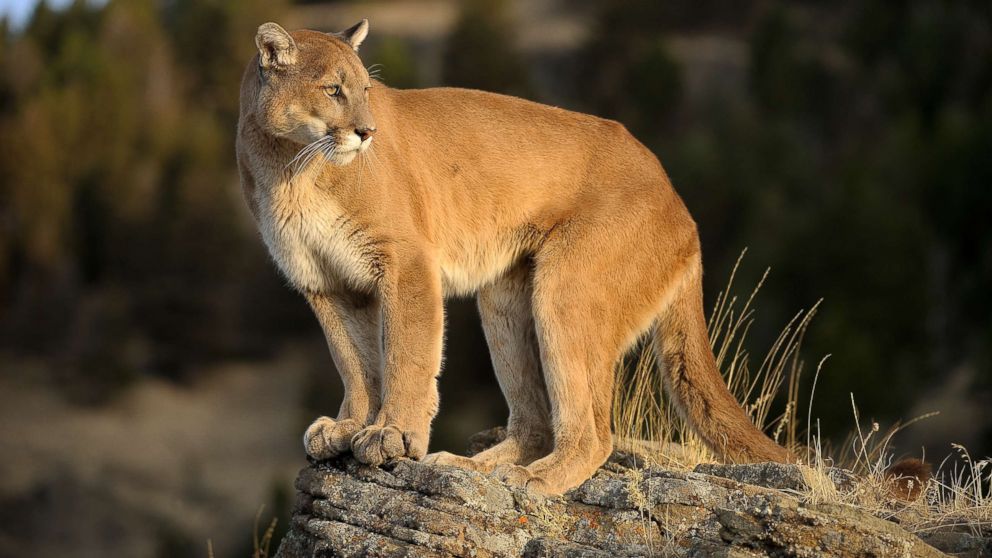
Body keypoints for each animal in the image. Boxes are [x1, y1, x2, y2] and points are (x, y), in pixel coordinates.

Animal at [234, 19, 792, 496]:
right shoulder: (324, 282)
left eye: (366, 91)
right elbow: (354, 362)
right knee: (537, 423)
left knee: (594, 432)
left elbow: (407, 354)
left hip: (566, 288)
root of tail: (679, 201)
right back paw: (467, 468)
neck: (291, 167)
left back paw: (534, 480)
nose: (368, 132)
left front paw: (393, 434)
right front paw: (349, 426)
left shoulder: (405, 263)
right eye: (333, 89)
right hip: (503, 299)